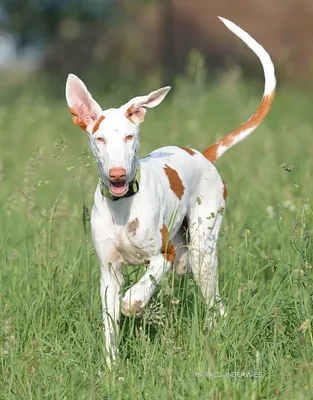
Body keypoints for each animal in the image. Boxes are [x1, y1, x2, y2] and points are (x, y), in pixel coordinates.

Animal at [64, 17, 274, 368]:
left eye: (130, 136)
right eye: (100, 139)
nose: (117, 174)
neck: (123, 207)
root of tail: (203, 155)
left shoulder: (165, 255)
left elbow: (138, 293)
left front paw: (134, 303)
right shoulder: (109, 273)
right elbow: (110, 325)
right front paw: (112, 369)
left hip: (202, 251)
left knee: (216, 305)